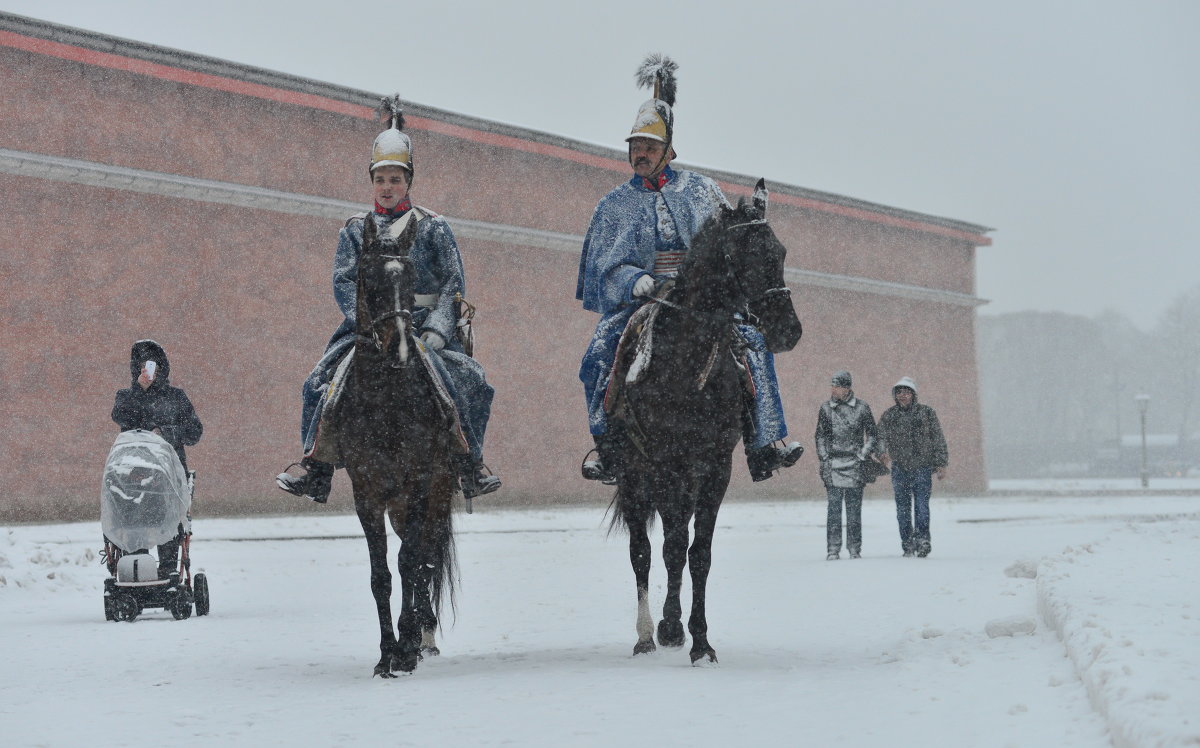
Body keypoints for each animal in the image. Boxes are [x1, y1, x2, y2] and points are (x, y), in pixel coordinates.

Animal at [343, 214, 463, 677]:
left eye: (410, 279)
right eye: (368, 277)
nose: (400, 347)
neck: (386, 402)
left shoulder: (420, 485)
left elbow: (411, 564)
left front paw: (406, 646)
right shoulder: (367, 493)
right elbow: (382, 575)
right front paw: (385, 653)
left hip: (437, 495)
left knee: (426, 557)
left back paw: (420, 634)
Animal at [614, 178, 801, 662]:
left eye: (780, 251)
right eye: (746, 254)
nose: (788, 331)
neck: (686, 358)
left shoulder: (716, 465)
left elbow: (698, 553)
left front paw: (699, 640)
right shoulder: (666, 464)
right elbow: (670, 547)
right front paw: (672, 629)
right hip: (637, 475)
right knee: (643, 550)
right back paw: (647, 633)